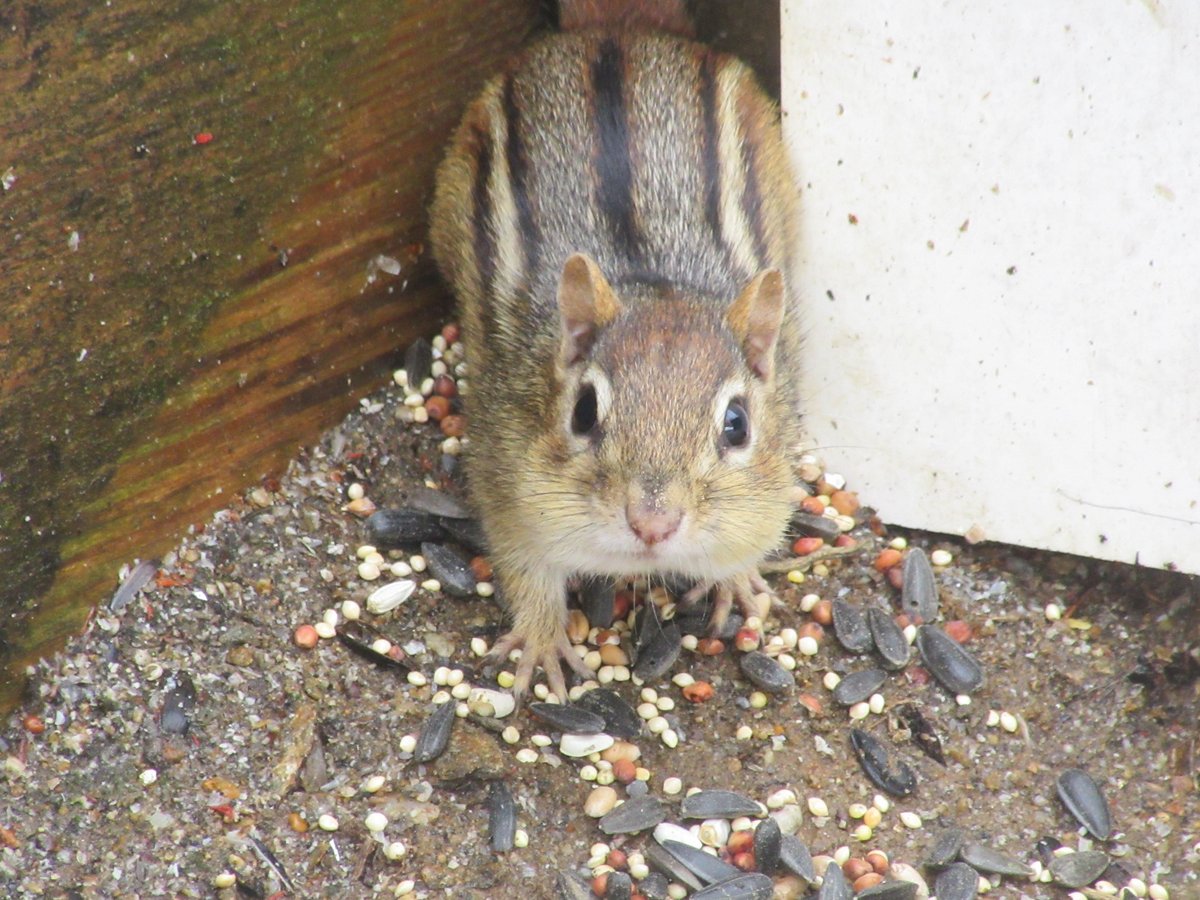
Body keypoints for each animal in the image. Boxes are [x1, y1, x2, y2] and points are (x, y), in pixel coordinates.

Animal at [429, 0, 803, 700]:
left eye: (737, 426)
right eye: (582, 413)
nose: (652, 525)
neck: (651, 280)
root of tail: (617, 32)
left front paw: (737, 583)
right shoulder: (511, 488)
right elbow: (524, 567)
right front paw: (543, 639)